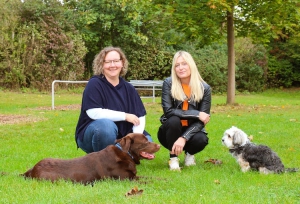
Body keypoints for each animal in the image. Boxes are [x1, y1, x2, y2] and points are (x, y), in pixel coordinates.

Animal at [20, 133, 159, 184]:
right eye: (145, 142)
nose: (158, 145)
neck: (125, 154)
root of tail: (32, 169)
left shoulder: (133, 176)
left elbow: (152, 177)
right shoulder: (125, 179)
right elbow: (146, 181)